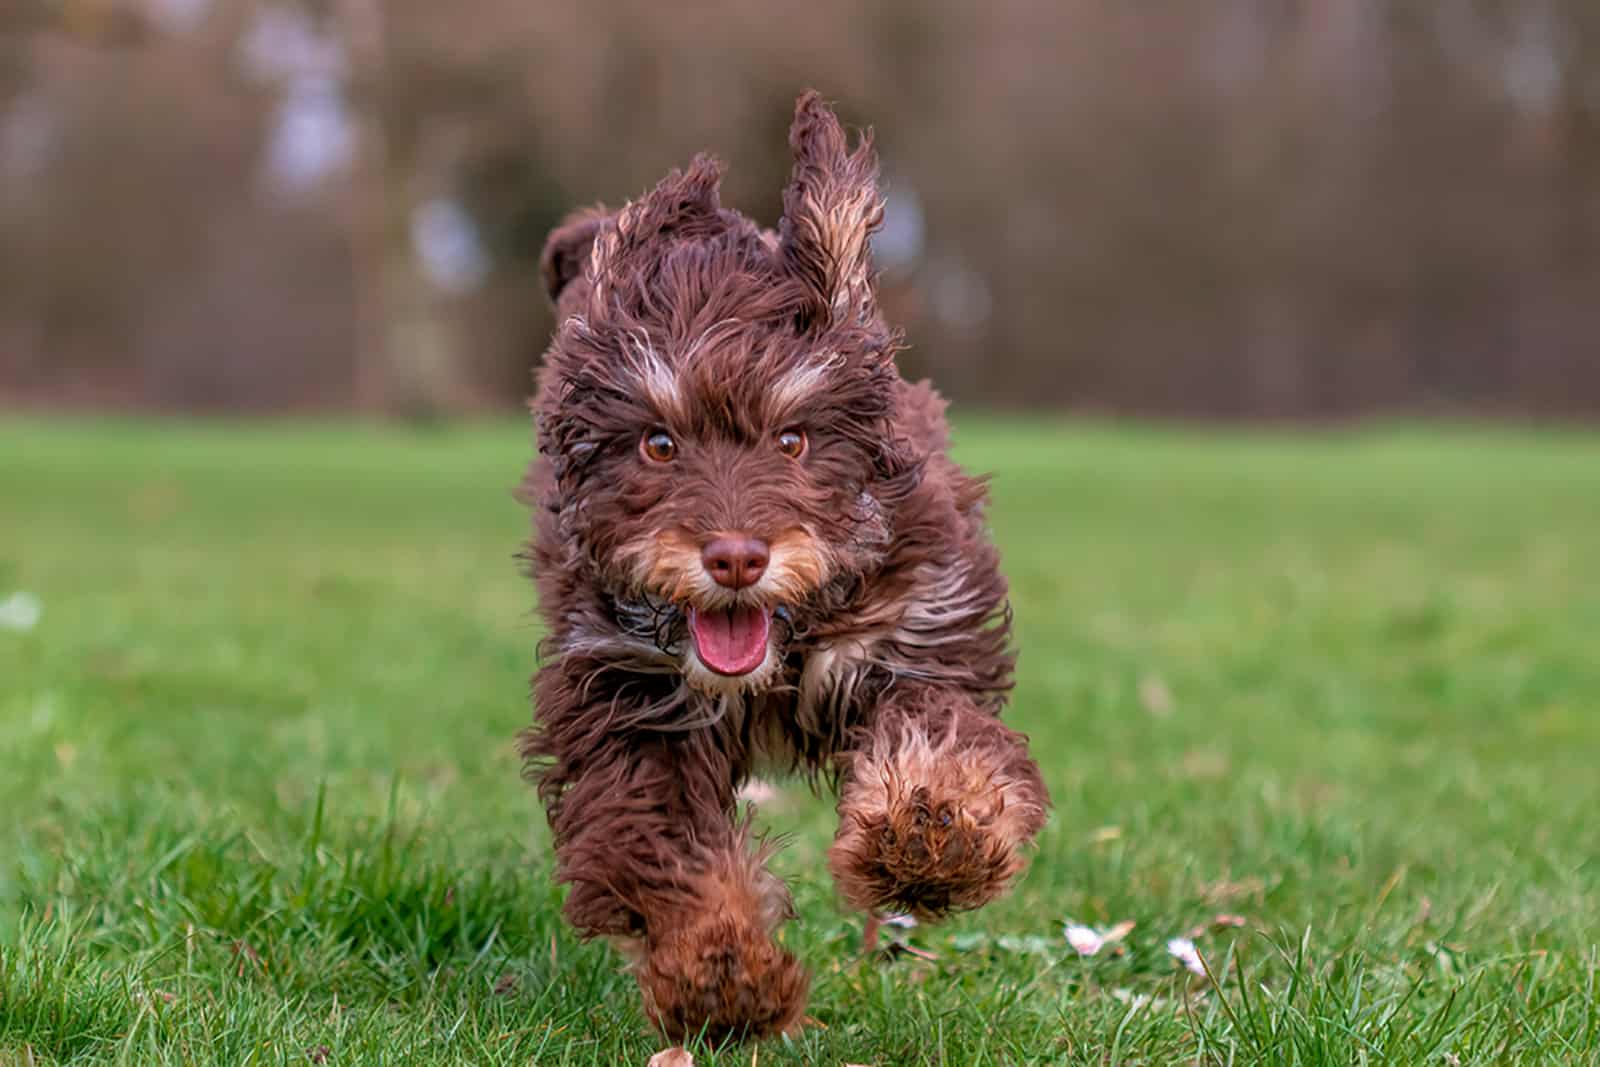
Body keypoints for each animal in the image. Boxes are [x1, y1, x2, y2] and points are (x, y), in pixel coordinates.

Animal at [521, 91, 1049, 1043]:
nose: (735, 556)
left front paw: (932, 837)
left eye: (794, 438)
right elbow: (665, 843)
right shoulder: (626, 695)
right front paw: (720, 973)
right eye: (658, 443)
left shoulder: (918, 634)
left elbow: (943, 738)